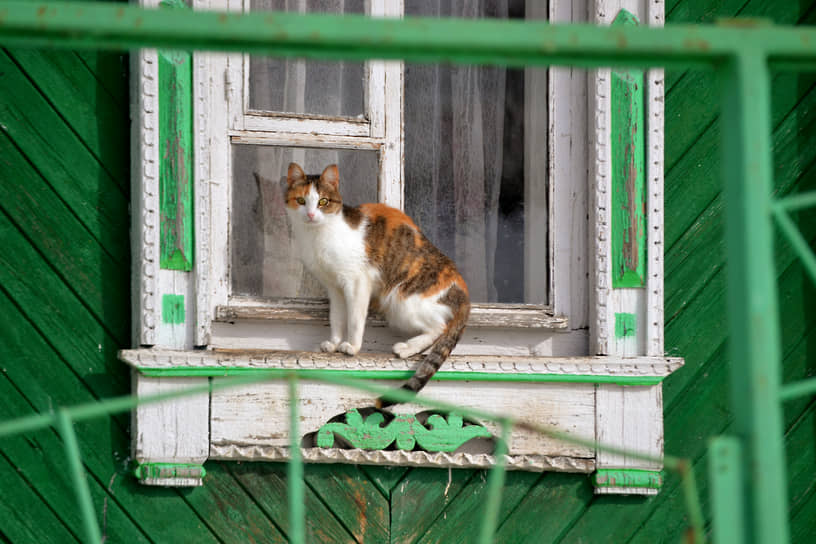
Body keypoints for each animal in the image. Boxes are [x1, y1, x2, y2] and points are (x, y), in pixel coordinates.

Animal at [286, 163, 472, 408]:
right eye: (300, 200)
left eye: (323, 202)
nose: (310, 214)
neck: (317, 236)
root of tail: (462, 288)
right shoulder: (334, 288)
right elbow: (336, 317)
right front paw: (334, 343)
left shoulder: (356, 281)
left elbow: (354, 319)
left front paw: (352, 347)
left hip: (400, 300)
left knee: (440, 327)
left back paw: (407, 348)